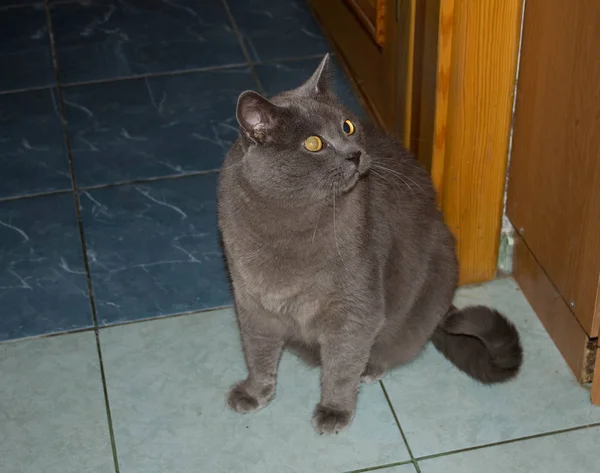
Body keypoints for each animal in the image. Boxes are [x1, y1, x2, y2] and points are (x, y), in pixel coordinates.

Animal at [217, 53, 520, 434]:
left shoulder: (355, 307)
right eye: (313, 143)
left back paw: (371, 367)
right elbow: (257, 351)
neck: (288, 222)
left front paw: (334, 411)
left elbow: (342, 364)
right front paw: (254, 392)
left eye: (347, 126)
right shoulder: (251, 301)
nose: (355, 154)